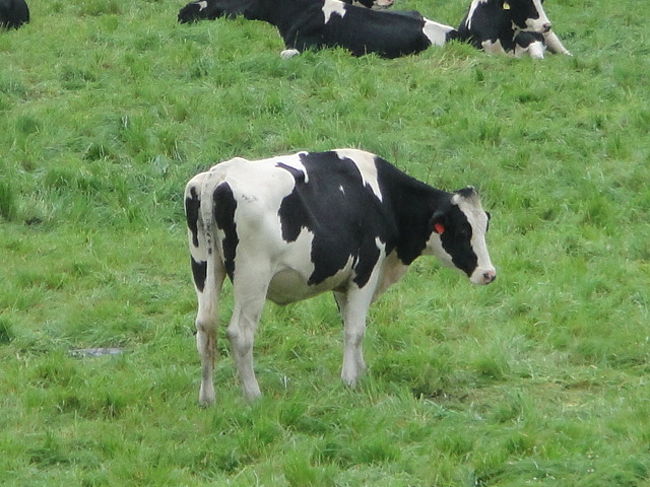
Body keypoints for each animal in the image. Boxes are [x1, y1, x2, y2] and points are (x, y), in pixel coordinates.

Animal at [185, 149, 494, 404]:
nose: (489, 274)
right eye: (462, 231)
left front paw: (360, 371)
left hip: (204, 266)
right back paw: (253, 395)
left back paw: (207, 398)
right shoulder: (366, 270)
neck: (383, 196)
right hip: (253, 277)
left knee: (204, 326)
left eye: (485, 227)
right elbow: (355, 330)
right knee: (240, 333)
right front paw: (350, 381)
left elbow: (349, 323)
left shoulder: (343, 279)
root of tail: (219, 174)